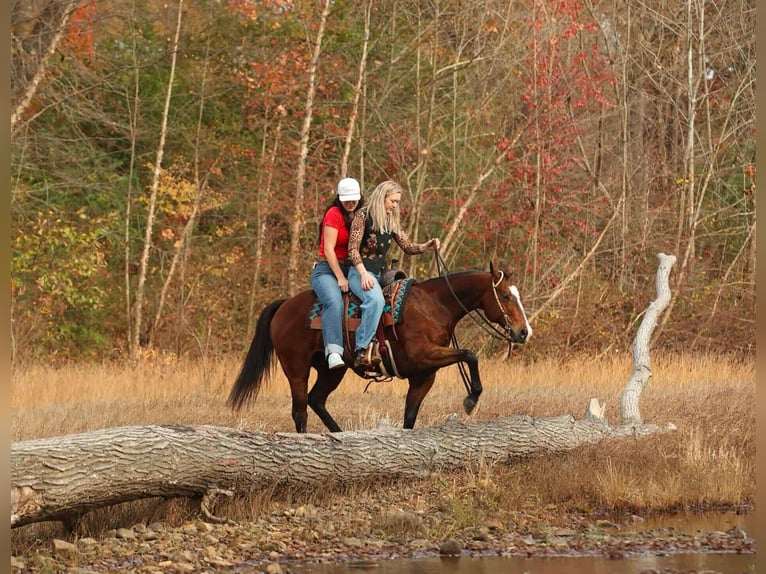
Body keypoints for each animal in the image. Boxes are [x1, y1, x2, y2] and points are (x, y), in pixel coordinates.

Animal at [228, 260, 532, 433]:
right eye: (505, 296)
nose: (523, 331)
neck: (434, 306)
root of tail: (284, 306)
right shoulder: (423, 358)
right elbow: (470, 355)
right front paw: (471, 400)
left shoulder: (424, 376)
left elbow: (410, 417)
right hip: (296, 369)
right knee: (300, 410)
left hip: (332, 369)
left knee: (317, 400)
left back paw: (339, 433)